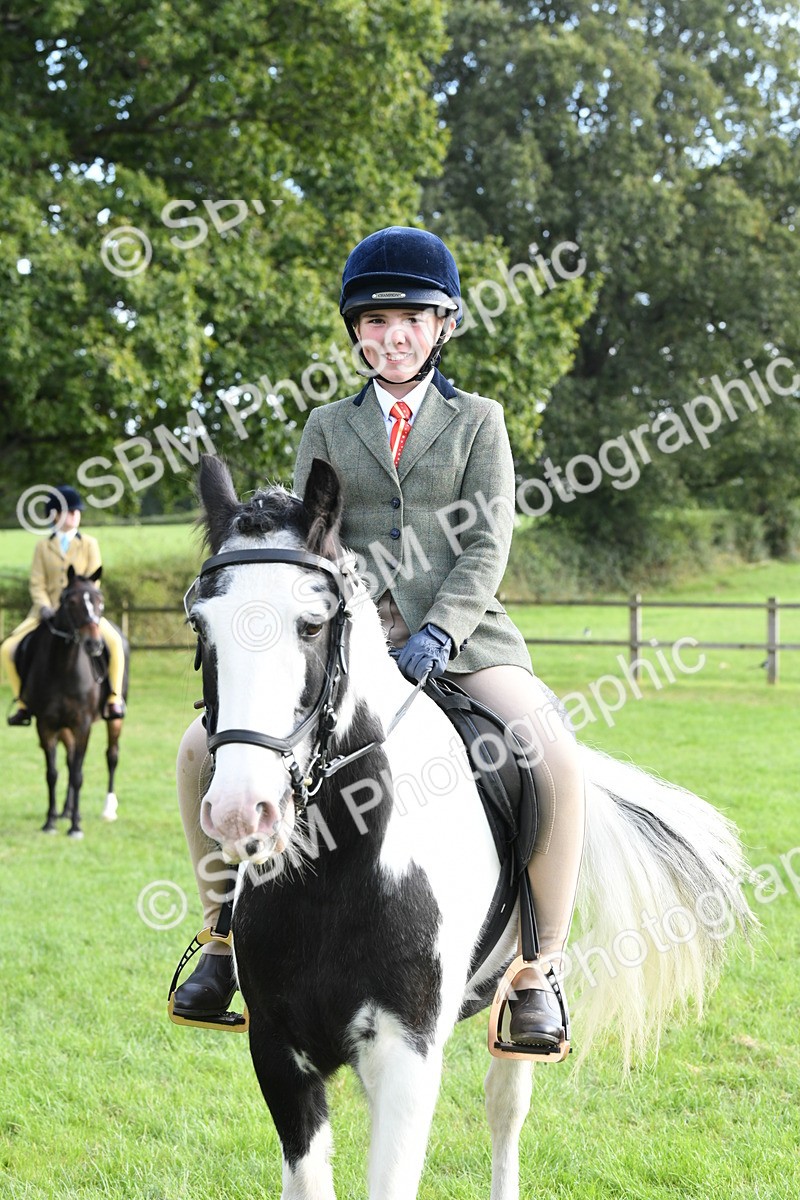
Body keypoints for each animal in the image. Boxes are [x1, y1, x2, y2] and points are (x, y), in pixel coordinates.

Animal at [17, 566, 129, 837]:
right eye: (72, 602)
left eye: (100, 601)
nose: (94, 644)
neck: (63, 666)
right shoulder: (46, 725)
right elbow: (53, 773)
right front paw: (50, 822)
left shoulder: (82, 725)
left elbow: (78, 774)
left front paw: (76, 826)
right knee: (68, 761)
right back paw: (65, 811)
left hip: (114, 720)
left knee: (111, 756)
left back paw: (107, 809)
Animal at [187, 454, 756, 1200]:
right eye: (202, 628)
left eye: (311, 625)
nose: (240, 810)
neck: (337, 872)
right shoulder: (280, 1053)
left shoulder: (406, 1057)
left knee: (505, 1103)